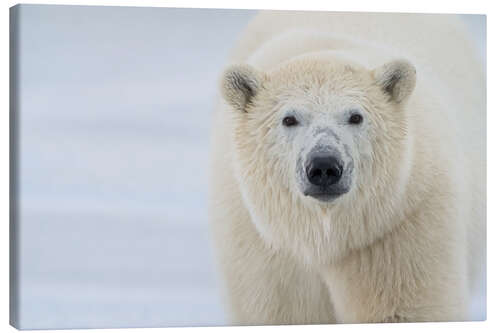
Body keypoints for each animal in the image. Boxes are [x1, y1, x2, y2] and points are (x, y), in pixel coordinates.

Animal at [210, 12, 484, 324]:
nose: (324, 167)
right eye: (289, 119)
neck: (326, 237)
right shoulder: (264, 250)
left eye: (355, 116)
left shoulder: (398, 227)